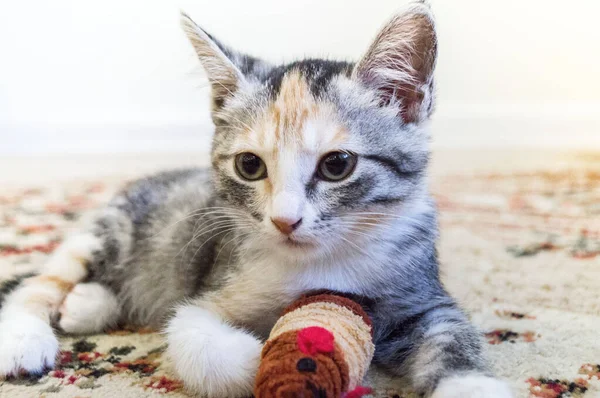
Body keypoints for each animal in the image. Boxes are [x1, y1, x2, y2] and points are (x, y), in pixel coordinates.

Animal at [0, 3, 512, 398]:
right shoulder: (212, 284)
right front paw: (266, 356)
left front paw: (470, 385)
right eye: (249, 165)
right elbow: (188, 330)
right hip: (114, 229)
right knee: (46, 278)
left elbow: (452, 334)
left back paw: (87, 304)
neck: (320, 264)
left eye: (338, 164)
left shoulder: (422, 292)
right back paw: (27, 334)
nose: (285, 220)